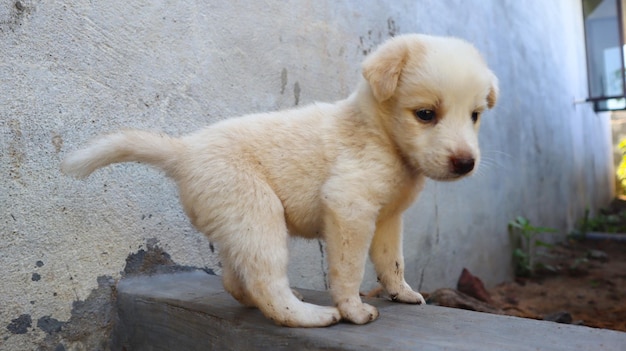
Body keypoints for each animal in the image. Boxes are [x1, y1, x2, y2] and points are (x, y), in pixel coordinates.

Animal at [61, 34, 494, 328]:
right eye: (425, 114)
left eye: (475, 115)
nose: (465, 163)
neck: (379, 135)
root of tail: (185, 151)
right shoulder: (348, 207)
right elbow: (349, 269)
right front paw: (353, 309)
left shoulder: (387, 218)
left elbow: (393, 261)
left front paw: (402, 293)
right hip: (258, 214)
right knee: (266, 283)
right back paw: (311, 315)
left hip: (237, 222)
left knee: (237, 281)